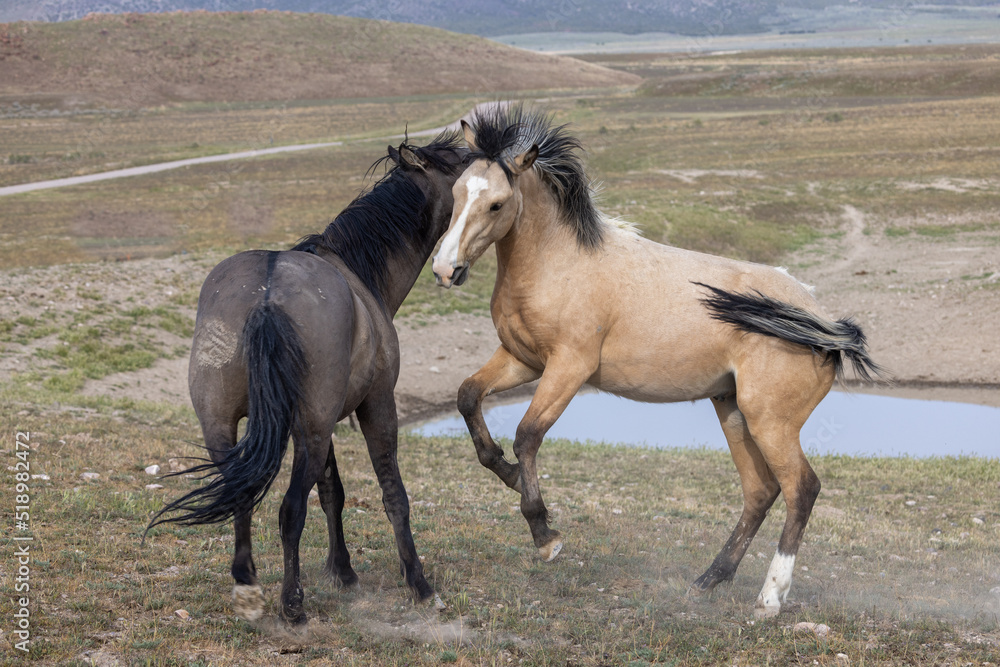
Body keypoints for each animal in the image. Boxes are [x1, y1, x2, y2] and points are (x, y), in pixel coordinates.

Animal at [145, 132, 467, 624]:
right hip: (312, 430)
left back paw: (248, 586)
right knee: (290, 510)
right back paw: (291, 603)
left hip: (227, 426)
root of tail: (267, 296)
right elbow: (392, 493)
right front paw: (419, 583)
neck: (359, 273)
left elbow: (332, 491)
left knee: (243, 495)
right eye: (464, 166)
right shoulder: (376, 405)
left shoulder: (318, 422)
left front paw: (343, 571)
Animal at [430, 104, 885, 618]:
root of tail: (822, 322)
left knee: (801, 489)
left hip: (771, 421)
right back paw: (710, 579)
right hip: (733, 410)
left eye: (496, 204)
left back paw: (769, 598)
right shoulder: (521, 361)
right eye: (456, 192)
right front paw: (507, 475)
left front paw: (545, 535)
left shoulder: (568, 368)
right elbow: (469, 398)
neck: (558, 264)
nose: (445, 269)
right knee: (760, 492)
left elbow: (527, 436)